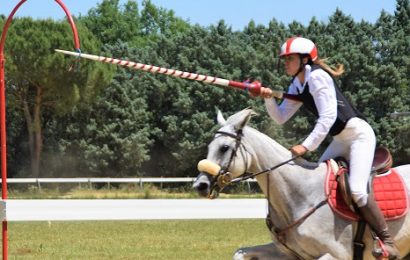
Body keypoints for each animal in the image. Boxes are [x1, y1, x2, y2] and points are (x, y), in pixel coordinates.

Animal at [193, 108, 410, 258]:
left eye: (224, 148)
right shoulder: (289, 253)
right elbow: (240, 253)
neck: (299, 194)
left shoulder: (338, 254)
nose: (200, 185)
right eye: (209, 146)